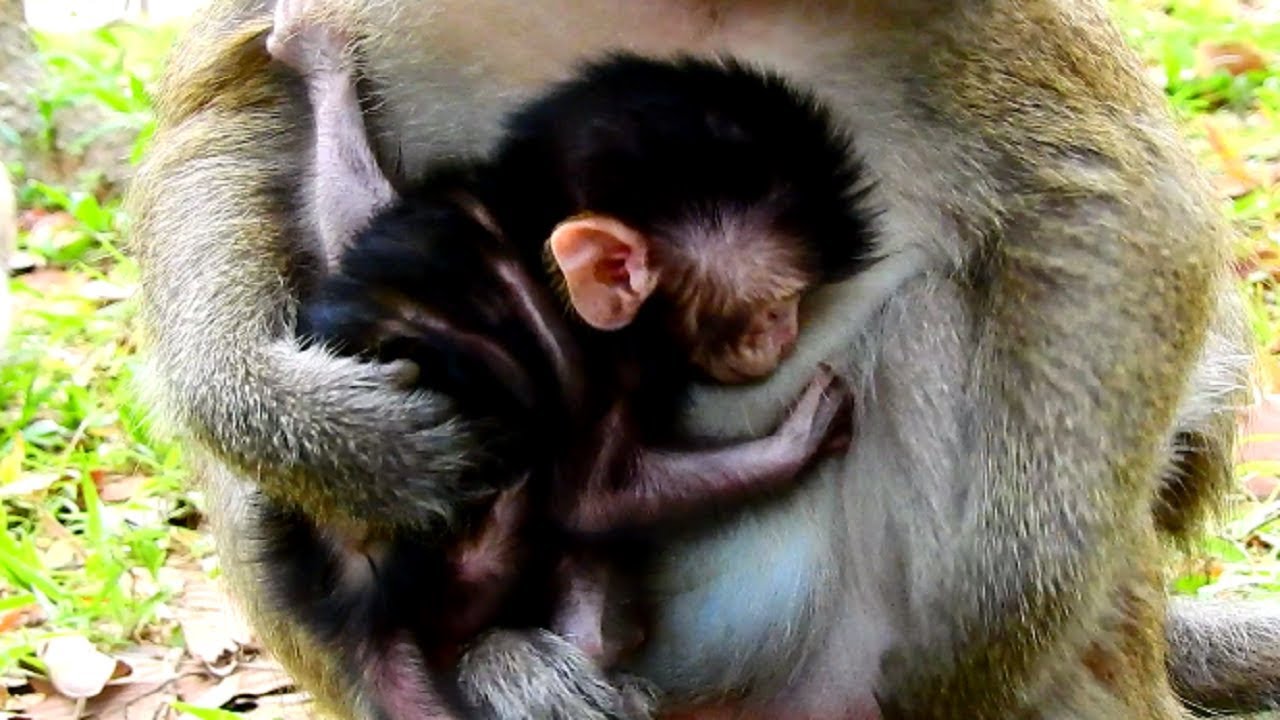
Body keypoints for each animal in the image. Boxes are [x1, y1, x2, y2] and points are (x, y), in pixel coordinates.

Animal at [128, 0, 1280, 718]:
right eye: (759, 308)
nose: (771, 339)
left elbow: (1103, 193)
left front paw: (981, 644)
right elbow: (235, 112)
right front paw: (320, 427)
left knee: (936, 325)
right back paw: (501, 668)